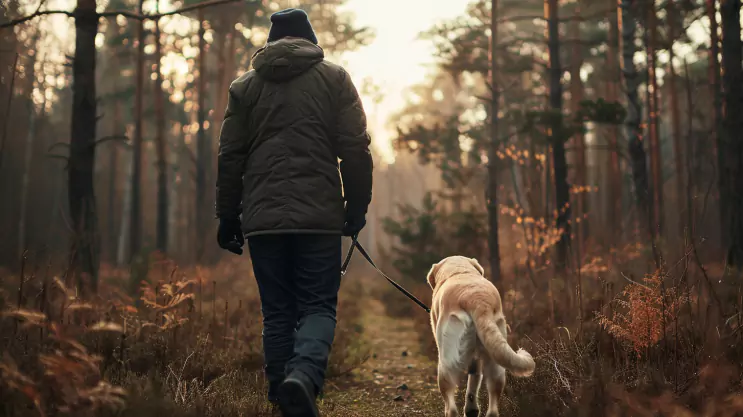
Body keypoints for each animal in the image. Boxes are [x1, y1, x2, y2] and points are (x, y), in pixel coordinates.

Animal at [428, 255, 536, 414]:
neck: (460, 271)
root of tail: (478, 302)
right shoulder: (476, 362)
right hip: (496, 359)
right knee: (493, 404)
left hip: (445, 363)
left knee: (450, 404)